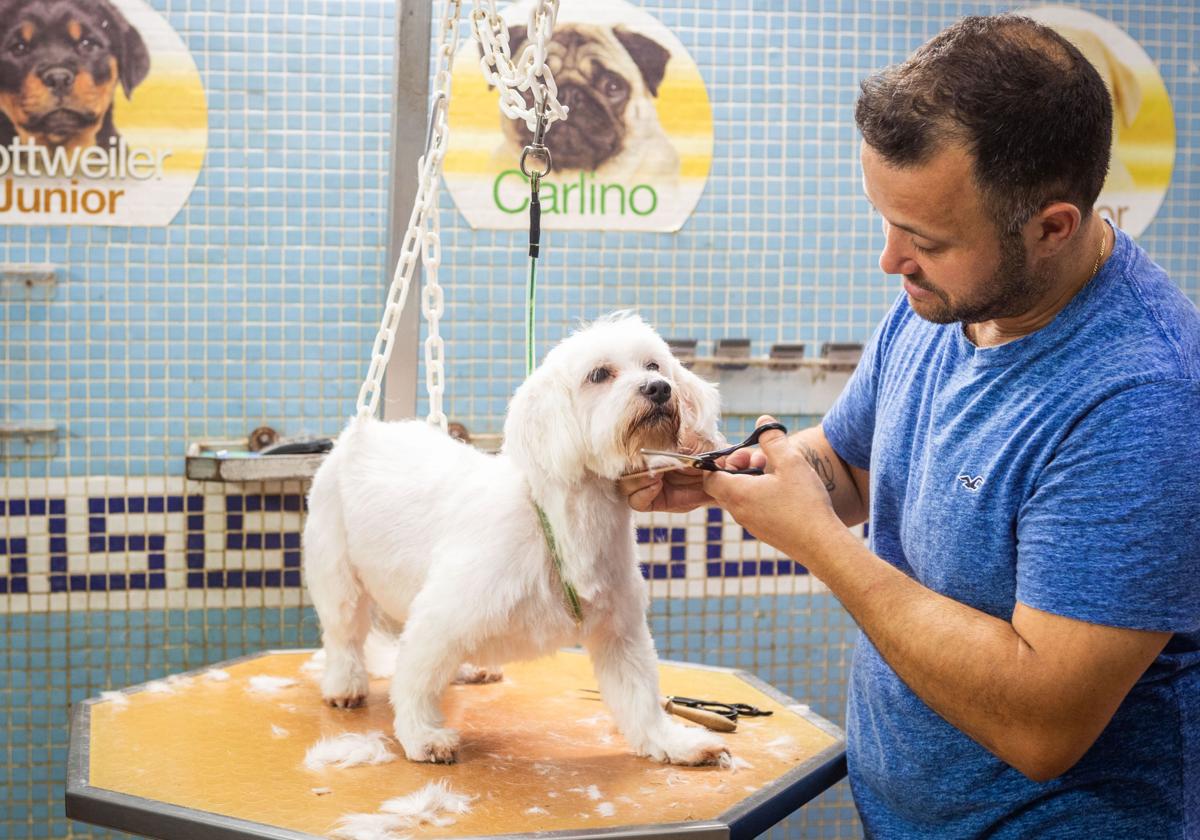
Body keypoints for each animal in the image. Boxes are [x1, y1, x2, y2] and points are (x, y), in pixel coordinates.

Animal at [304, 314, 724, 768]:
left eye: (654, 366)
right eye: (599, 374)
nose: (659, 389)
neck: (560, 524)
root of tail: (361, 431)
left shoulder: (621, 633)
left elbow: (642, 697)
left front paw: (675, 743)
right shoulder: (441, 613)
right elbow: (415, 680)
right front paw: (423, 736)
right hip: (337, 575)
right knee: (344, 635)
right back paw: (345, 684)